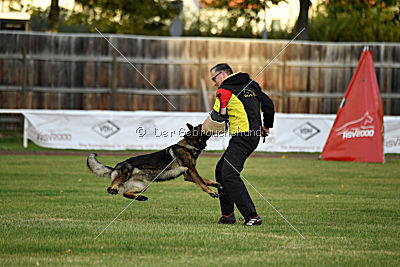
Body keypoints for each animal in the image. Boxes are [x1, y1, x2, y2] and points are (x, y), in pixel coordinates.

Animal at [85, 123, 220, 201]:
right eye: (201, 127)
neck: (188, 145)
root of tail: (115, 167)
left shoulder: (188, 175)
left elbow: (205, 180)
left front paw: (216, 184)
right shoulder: (191, 170)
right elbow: (202, 183)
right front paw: (211, 192)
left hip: (143, 185)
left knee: (125, 193)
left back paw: (140, 197)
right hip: (126, 174)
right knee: (110, 187)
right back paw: (114, 190)